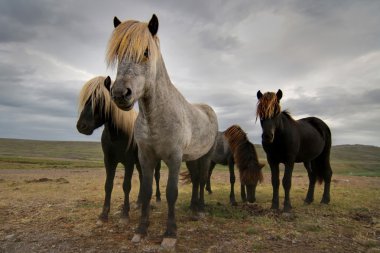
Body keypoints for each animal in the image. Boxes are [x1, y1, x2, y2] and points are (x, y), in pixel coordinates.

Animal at [76, 76, 161, 223]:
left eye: (100, 100)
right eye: (86, 99)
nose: (82, 126)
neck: (118, 135)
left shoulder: (129, 162)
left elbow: (126, 186)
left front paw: (125, 214)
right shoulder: (109, 161)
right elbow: (108, 185)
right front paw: (104, 214)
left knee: (156, 176)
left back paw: (158, 199)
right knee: (143, 177)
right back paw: (140, 202)